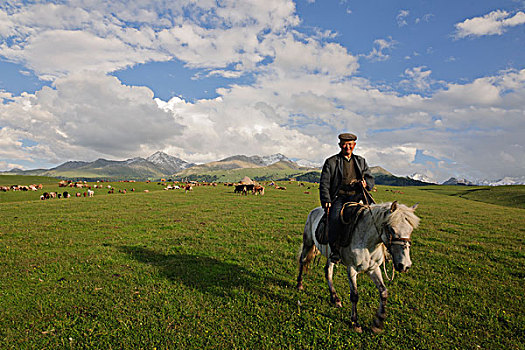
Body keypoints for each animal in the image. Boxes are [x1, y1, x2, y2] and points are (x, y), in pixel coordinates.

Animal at [296, 201, 420, 332]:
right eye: (391, 229)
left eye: (411, 230)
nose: (404, 265)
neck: (367, 242)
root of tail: (314, 210)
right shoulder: (352, 269)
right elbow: (355, 295)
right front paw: (355, 322)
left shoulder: (373, 269)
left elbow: (383, 292)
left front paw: (378, 322)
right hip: (308, 242)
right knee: (302, 261)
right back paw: (299, 284)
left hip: (330, 256)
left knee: (328, 272)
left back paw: (335, 298)